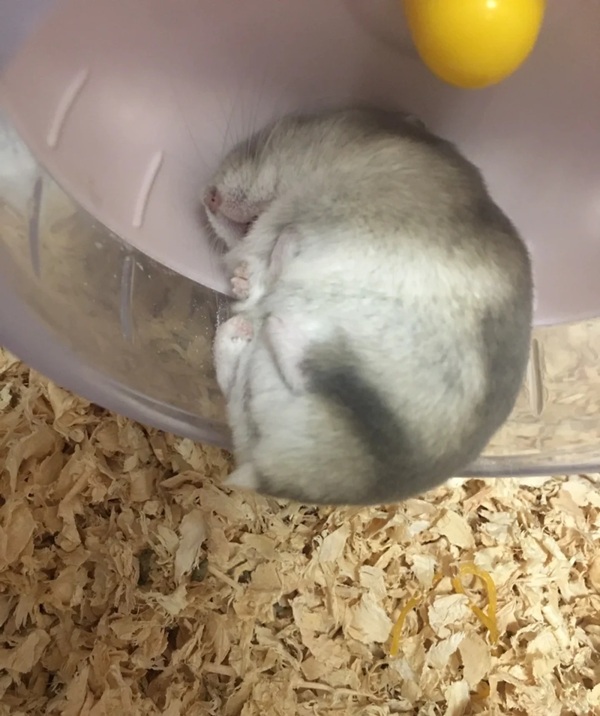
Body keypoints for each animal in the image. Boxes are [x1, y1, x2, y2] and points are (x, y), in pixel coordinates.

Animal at [204, 106, 533, 506]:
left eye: (274, 136)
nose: (207, 197)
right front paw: (241, 279)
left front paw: (247, 272)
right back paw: (247, 323)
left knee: (310, 366)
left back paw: (280, 304)